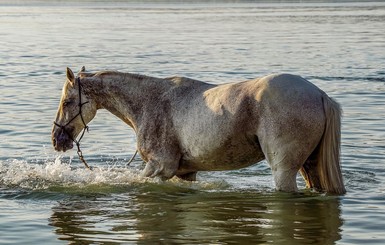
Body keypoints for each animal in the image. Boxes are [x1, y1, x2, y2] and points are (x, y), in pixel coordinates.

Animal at [51, 66, 344, 193]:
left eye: (67, 102)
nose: (57, 139)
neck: (149, 102)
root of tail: (319, 95)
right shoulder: (184, 173)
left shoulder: (160, 167)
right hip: (310, 167)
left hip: (283, 170)